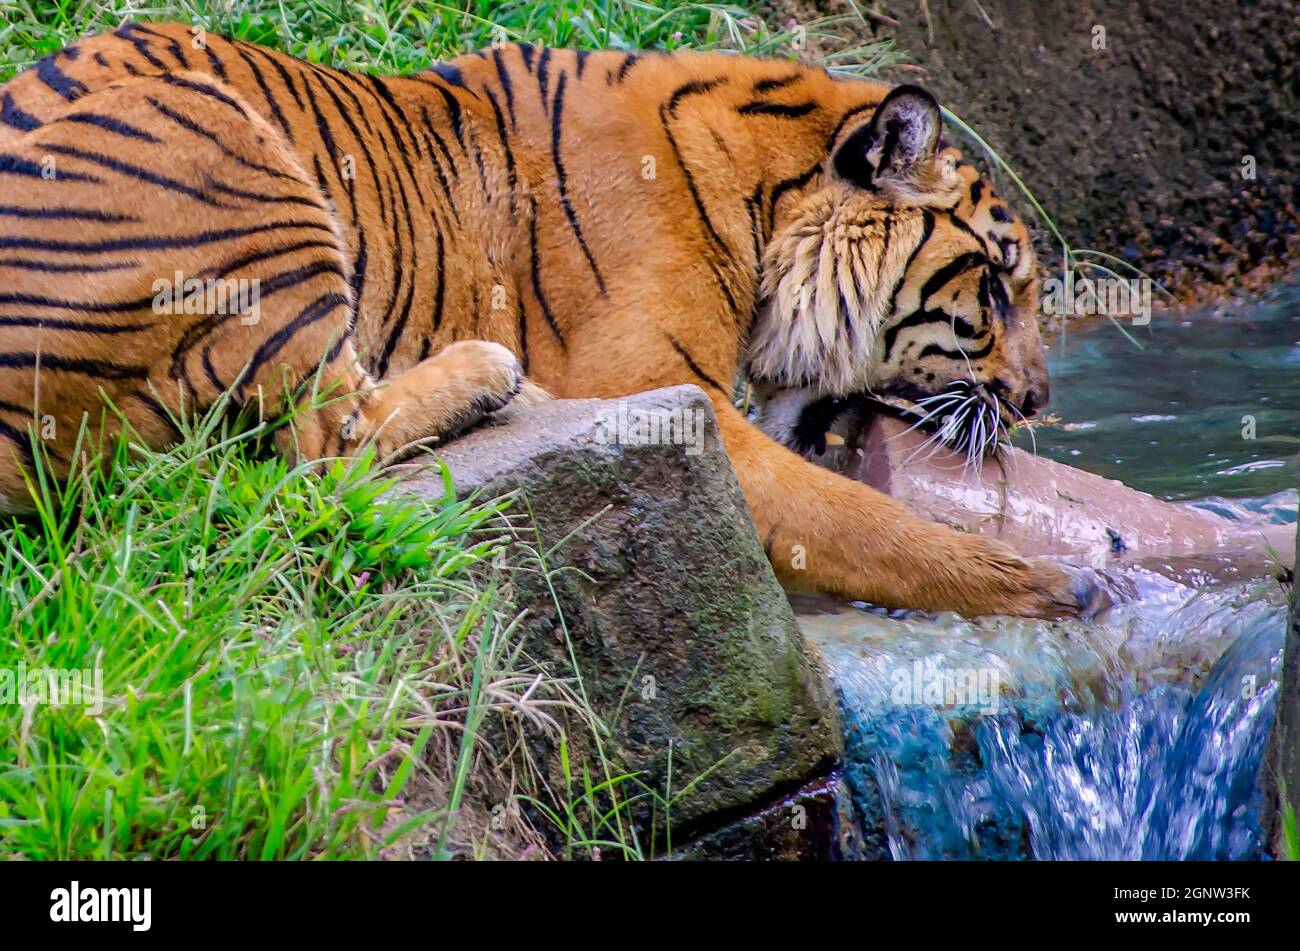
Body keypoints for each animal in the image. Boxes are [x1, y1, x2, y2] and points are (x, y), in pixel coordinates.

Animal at [0, 22, 1092, 621]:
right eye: (998, 286)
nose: (1038, 399)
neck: (766, 196)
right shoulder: (664, 395)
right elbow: (862, 520)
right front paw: (1055, 586)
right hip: (211, 126)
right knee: (325, 445)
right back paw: (485, 371)